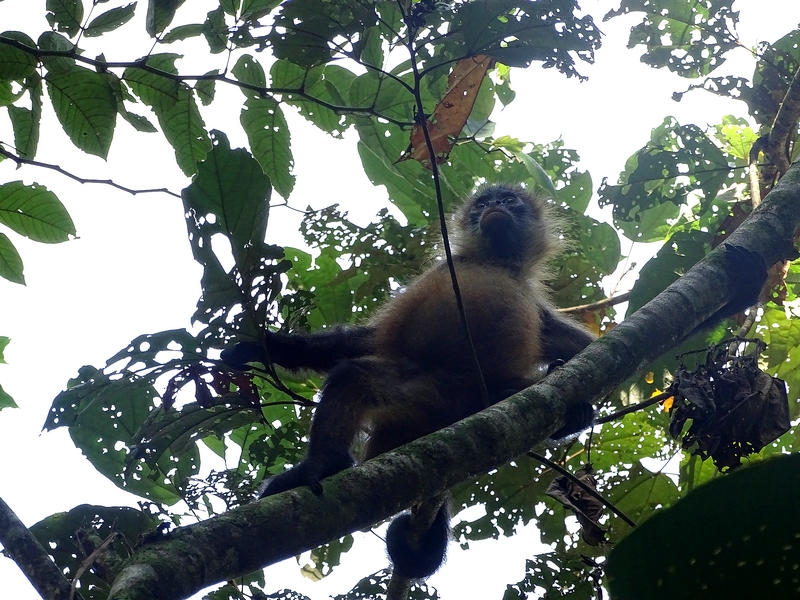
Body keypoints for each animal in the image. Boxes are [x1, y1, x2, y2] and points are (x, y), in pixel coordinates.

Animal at [222, 183, 597, 578]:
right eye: (483, 203)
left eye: (510, 201)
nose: (494, 205)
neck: (495, 263)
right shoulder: (446, 268)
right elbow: (365, 342)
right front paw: (269, 347)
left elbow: (586, 348)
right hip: (426, 392)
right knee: (354, 377)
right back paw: (325, 463)